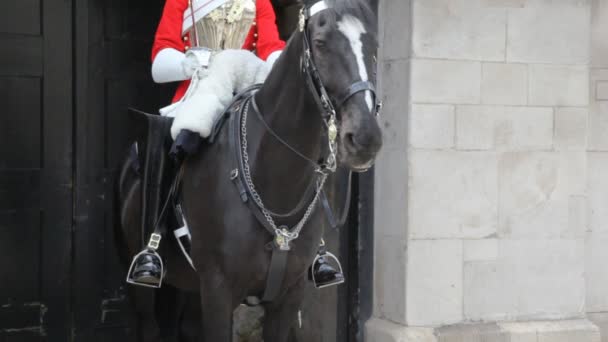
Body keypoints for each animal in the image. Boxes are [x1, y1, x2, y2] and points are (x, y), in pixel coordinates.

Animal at [115, 0, 380, 340]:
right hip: (142, 283)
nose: (365, 138)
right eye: (320, 44)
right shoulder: (217, 291)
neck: (274, 183)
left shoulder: (287, 295)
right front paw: (202, 61)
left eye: (373, 45)